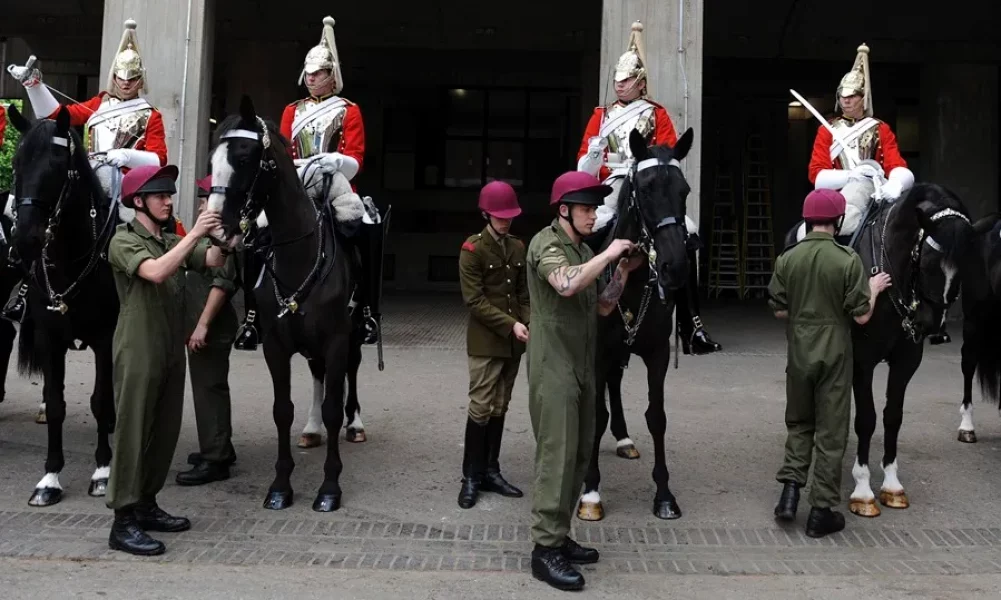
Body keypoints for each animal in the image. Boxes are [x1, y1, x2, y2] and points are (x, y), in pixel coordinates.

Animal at [5, 105, 120, 504]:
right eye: (17, 164)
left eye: (57, 167)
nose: (25, 239)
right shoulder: (50, 338)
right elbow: (56, 404)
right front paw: (50, 478)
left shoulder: (105, 337)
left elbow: (102, 401)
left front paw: (103, 471)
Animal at [207, 97, 356, 510]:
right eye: (212, 159)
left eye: (244, 158)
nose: (216, 227)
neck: (300, 254)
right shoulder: (276, 344)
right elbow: (282, 410)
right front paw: (280, 485)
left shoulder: (337, 340)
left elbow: (333, 408)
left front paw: (329, 487)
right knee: (318, 376)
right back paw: (311, 429)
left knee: (350, 375)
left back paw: (356, 424)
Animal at [572, 127, 696, 520]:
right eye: (646, 189)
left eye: (684, 190)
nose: (674, 265)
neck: (632, 278)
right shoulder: (597, 352)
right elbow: (596, 415)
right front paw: (590, 491)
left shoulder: (657, 354)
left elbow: (657, 416)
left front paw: (664, 494)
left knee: (614, 383)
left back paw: (624, 438)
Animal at [780, 180, 984, 516]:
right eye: (928, 263)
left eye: (965, 268)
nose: (932, 328)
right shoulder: (862, 361)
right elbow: (866, 419)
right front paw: (863, 490)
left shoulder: (906, 361)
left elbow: (892, 417)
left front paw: (891, 484)